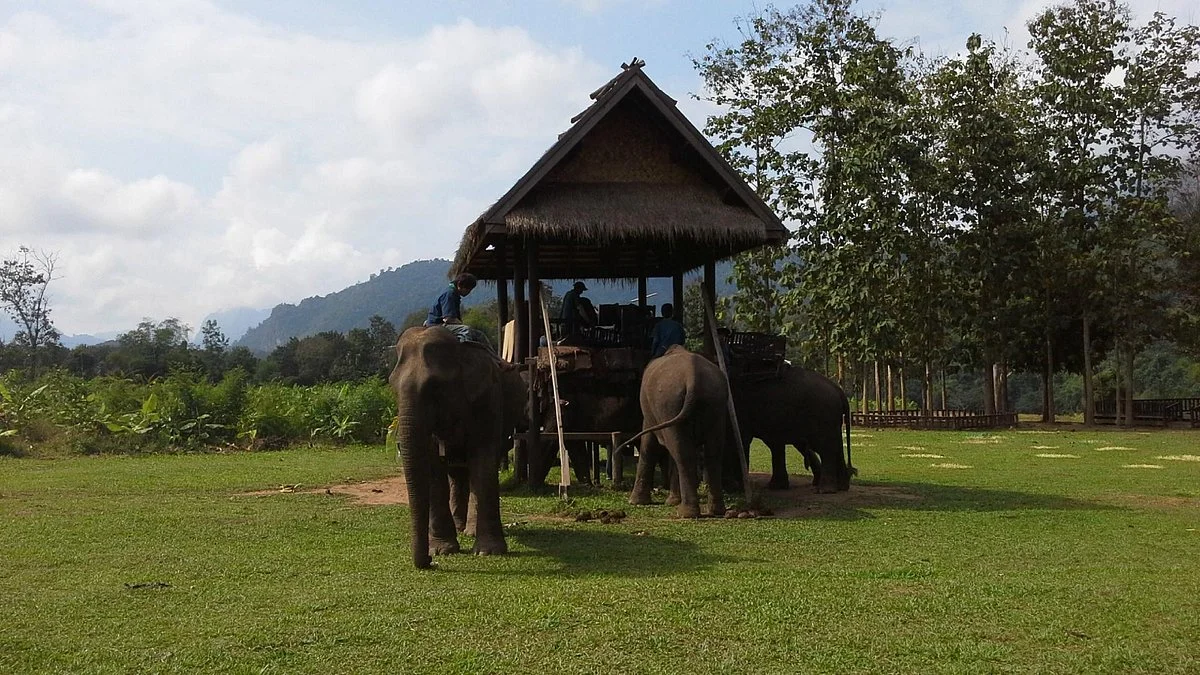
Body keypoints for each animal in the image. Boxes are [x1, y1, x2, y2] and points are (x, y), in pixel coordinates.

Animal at [389, 326, 515, 569]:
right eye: (392, 386)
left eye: (435, 387)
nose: (429, 561)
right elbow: (433, 467)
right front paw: (442, 550)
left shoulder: (488, 398)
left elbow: (483, 458)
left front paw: (488, 552)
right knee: (457, 474)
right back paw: (460, 527)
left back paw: (470, 531)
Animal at [628, 345, 732, 518]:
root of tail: (693, 377)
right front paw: (672, 501)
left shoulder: (650, 414)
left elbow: (649, 445)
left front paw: (635, 502)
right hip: (716, 405)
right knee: (713, 453)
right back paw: (716, 511)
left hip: (670, 403)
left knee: (682, 453)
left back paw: (685, 513)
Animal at [728, 363, 854, 493]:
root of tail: (838, 390)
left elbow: (741, 440)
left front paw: (736, 488)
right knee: (834, 445)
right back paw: (842, 486)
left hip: (823, 415)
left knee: (825, 446)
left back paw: (825, 490)